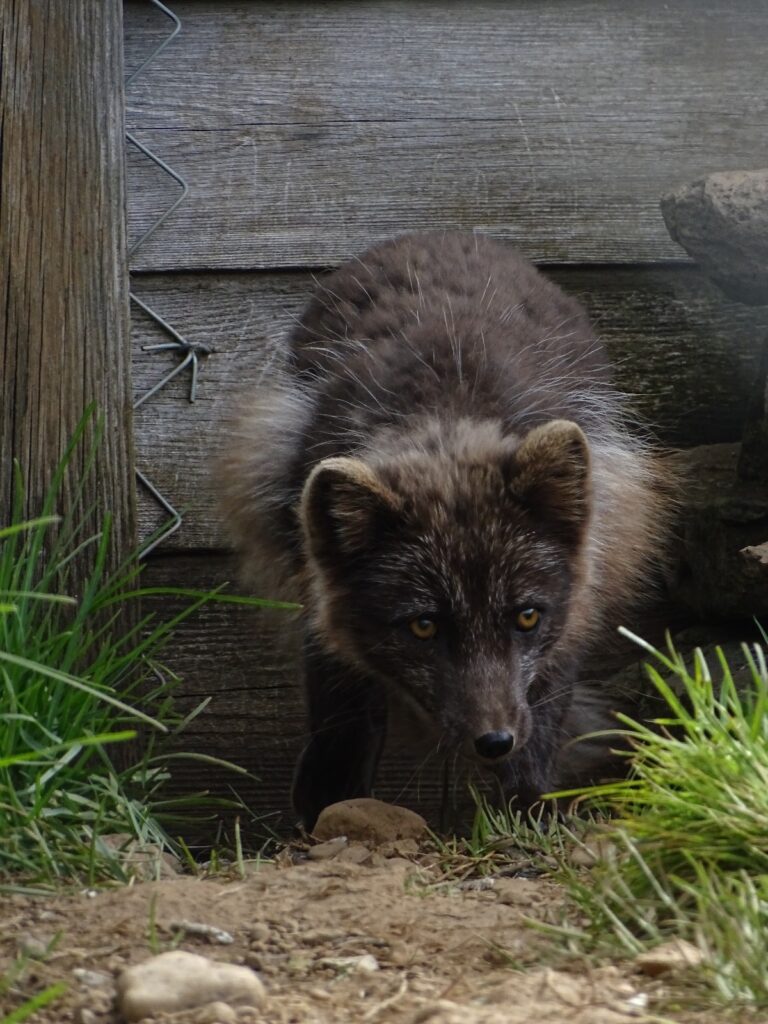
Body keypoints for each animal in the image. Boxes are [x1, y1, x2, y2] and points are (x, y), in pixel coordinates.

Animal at [218, 228, 671, 827]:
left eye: (527, 616)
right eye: (423, 626)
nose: (494, 742)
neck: (448, 407)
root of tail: (446, 233)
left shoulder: (575, 602)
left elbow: (544, 719)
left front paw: (529, 813)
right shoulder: (317, 588)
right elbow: (342, 711)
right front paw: (329, 808)